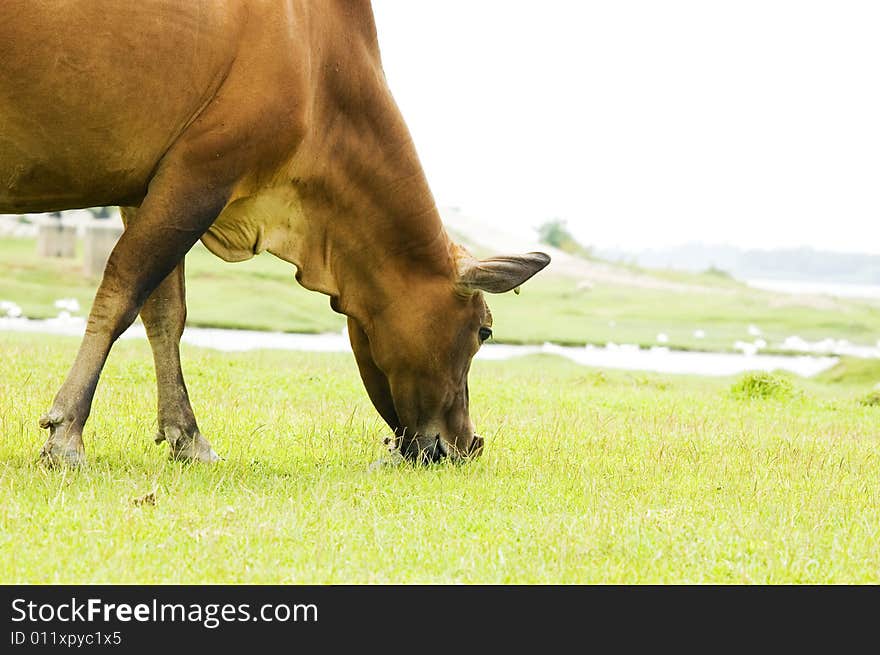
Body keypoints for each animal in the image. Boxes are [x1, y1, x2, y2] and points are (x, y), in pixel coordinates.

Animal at [1, 0, 552, 466]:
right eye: (484, 331)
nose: (467, 444)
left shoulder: (146, 188)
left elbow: (165, 314)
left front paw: (187, 437)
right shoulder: (201, 170)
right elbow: (121, 294)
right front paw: (67, 436)